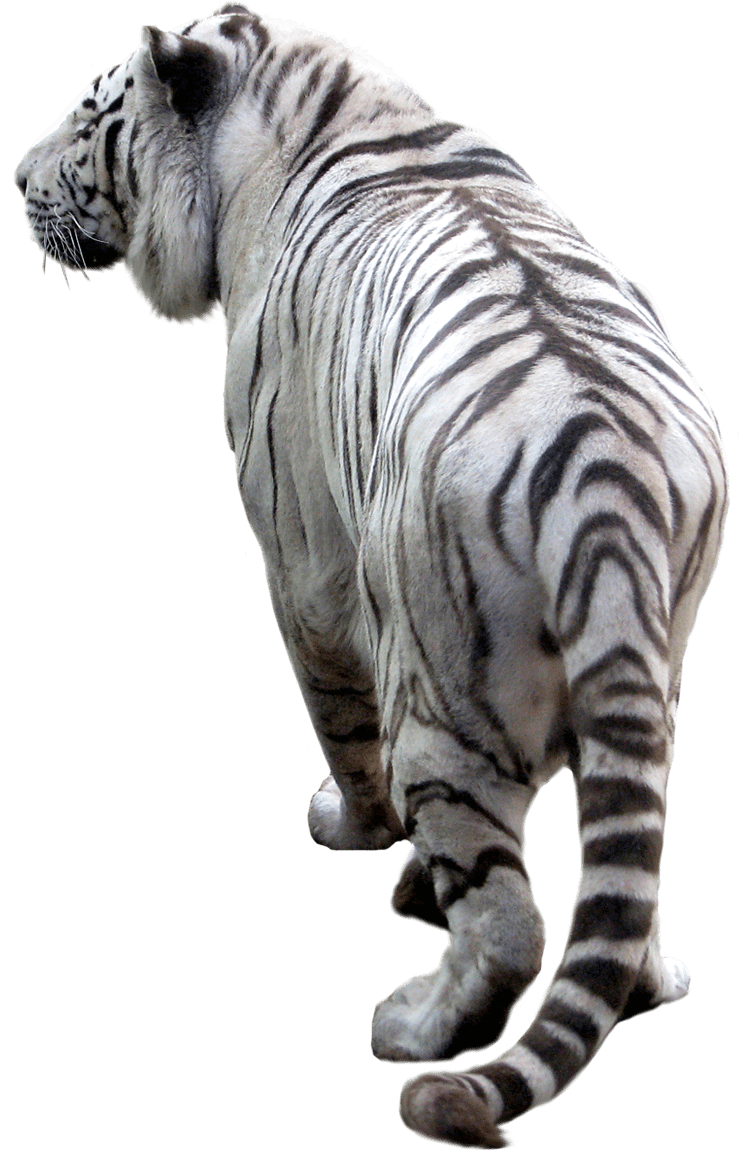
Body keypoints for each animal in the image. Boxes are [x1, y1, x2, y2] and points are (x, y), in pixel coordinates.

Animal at [13, 5, 729, 1148]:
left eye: (89, 119)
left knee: (507, 919)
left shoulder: (301, 556)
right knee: (628, 862)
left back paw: (418, 1026)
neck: (323, 115)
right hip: (653, 673)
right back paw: (651, 979)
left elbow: (341, 729)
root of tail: (604, 481)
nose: (14, 180)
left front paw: (354, 834)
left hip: (441, 689)